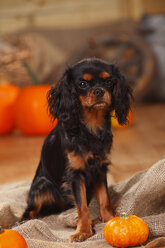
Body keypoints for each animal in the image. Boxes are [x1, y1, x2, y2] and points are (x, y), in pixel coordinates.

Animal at [22, 57, 132, 240]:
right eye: (82, 84)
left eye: (109, 82)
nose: (99, 91)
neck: (91, 127)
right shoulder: (75, 174)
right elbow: (82, 207)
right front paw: (83, 231)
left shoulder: (99, 169)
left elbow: (104, 199)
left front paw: (109, 219)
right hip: (42, 186)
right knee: (29, 212)